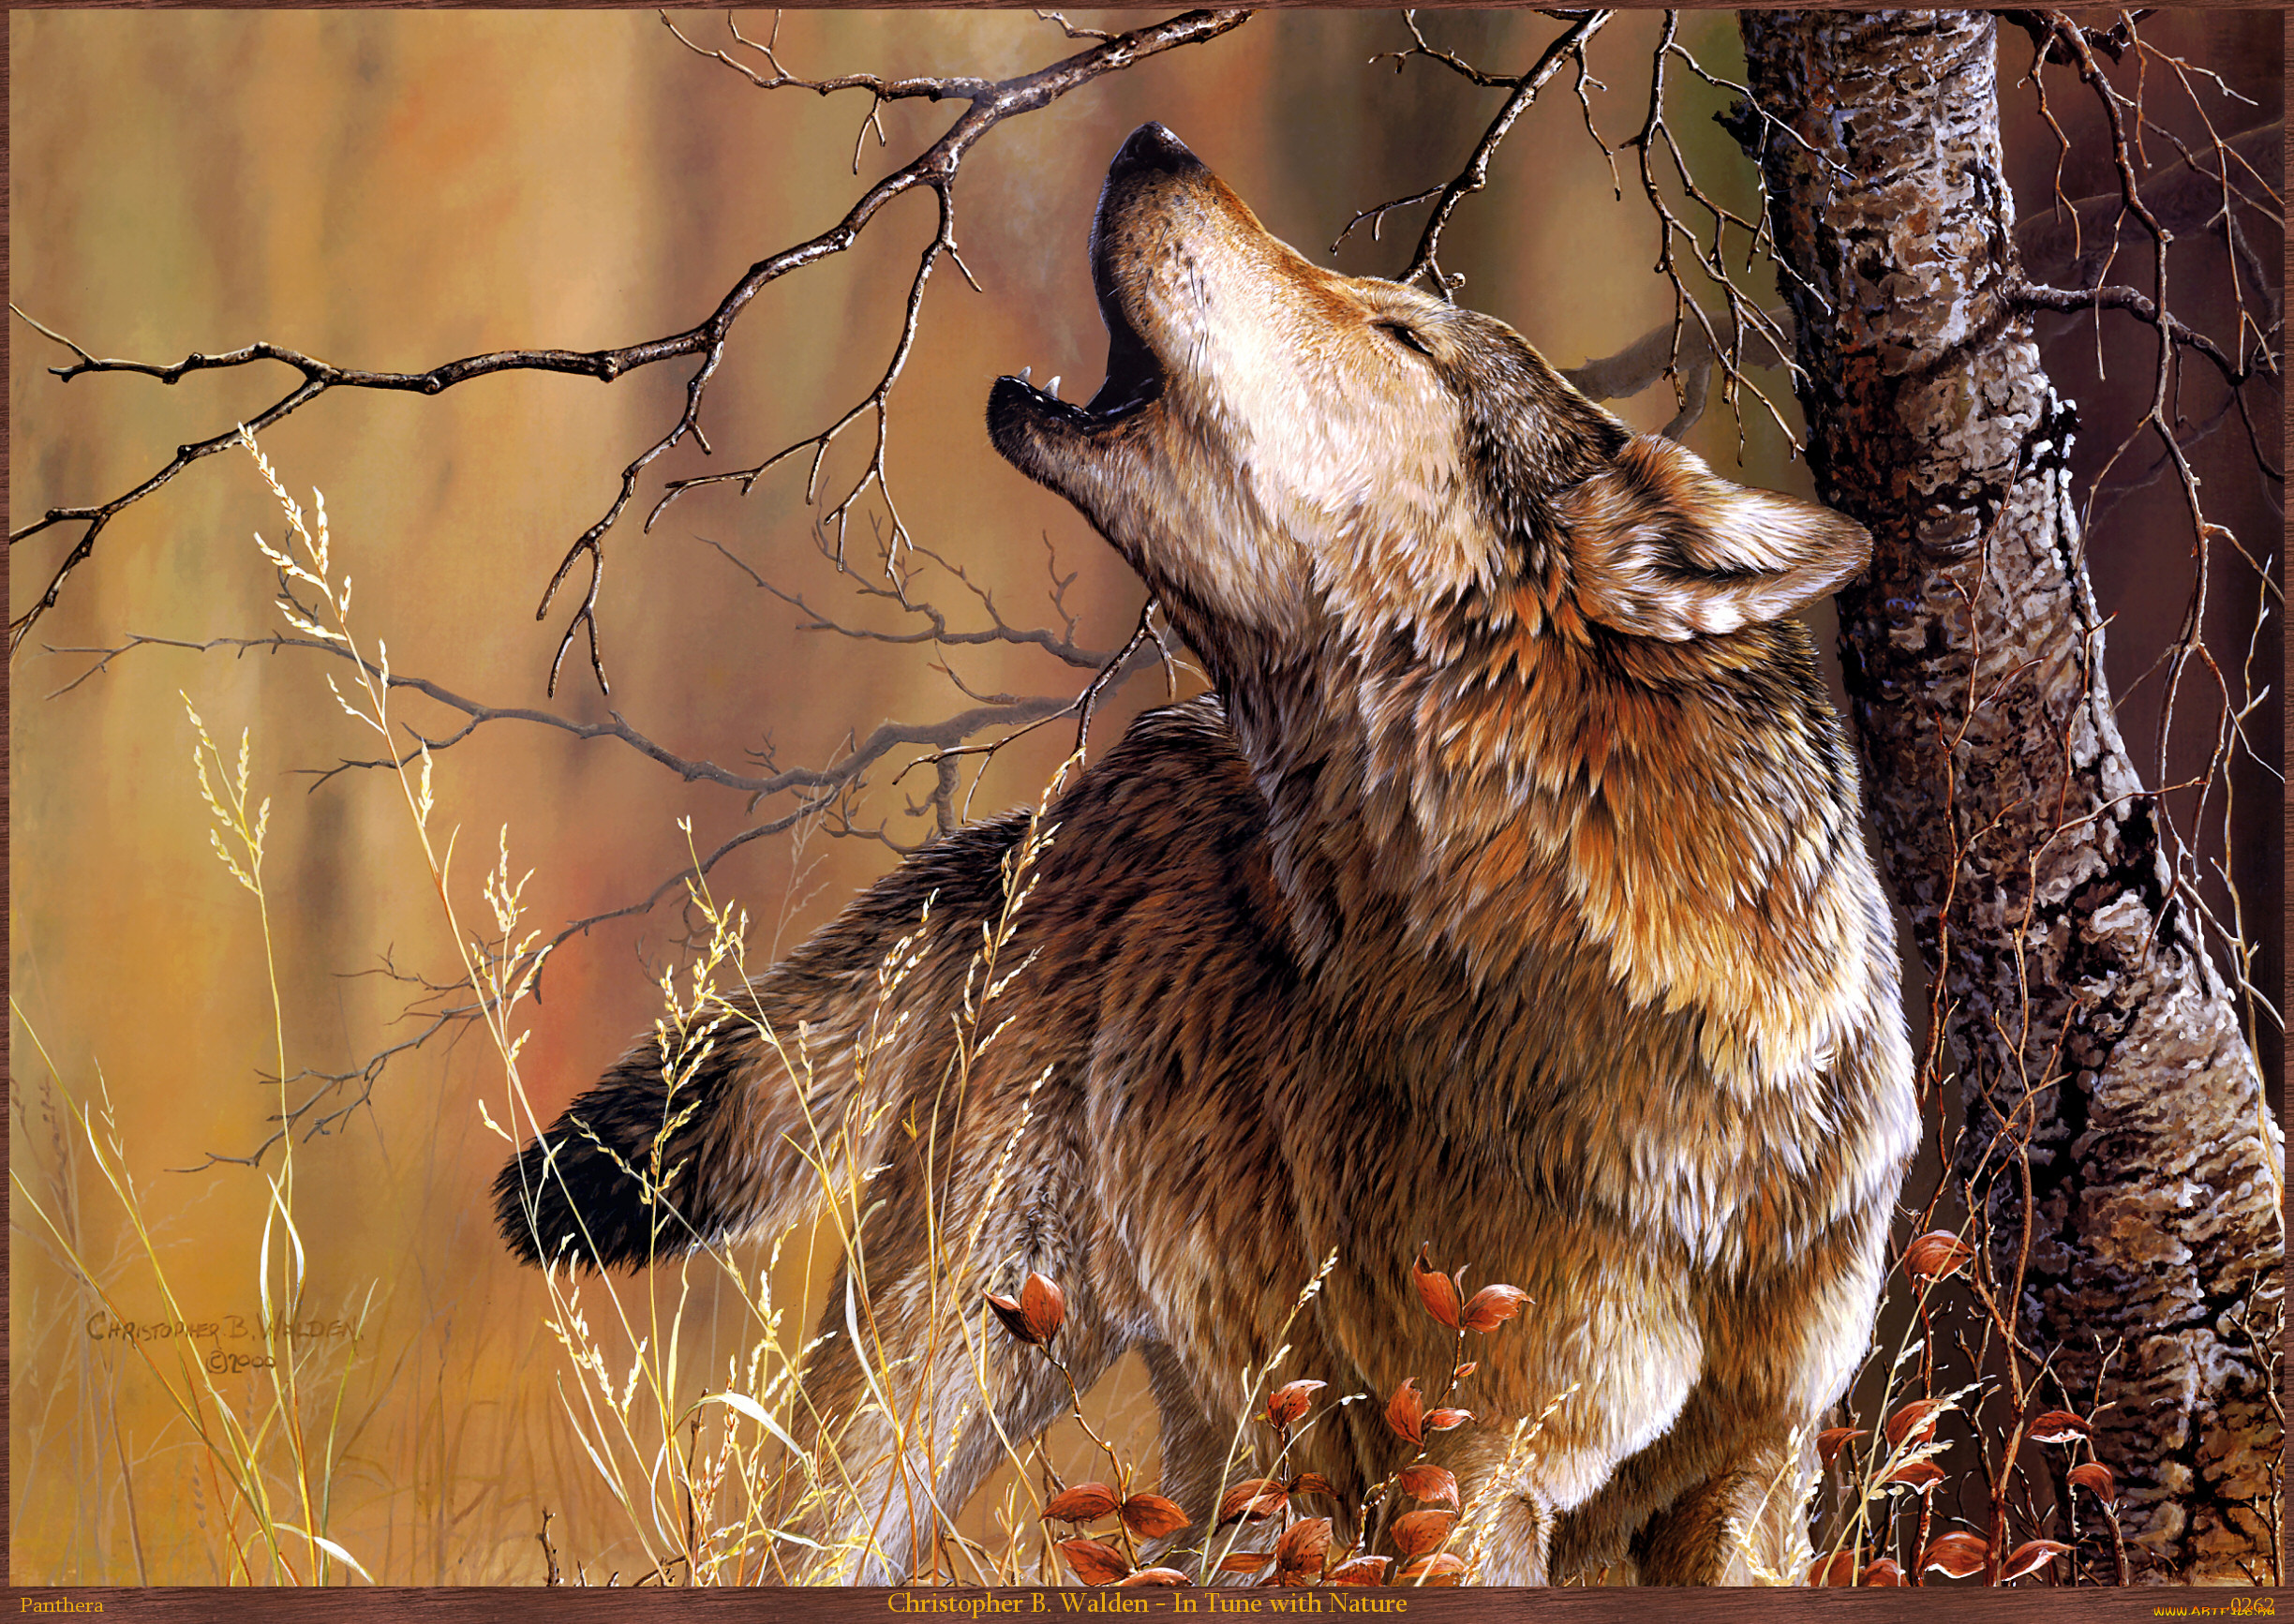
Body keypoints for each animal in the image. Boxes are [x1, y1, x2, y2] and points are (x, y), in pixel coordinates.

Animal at [497, 123, 1917, 1586]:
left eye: (1402, 335)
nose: (1153, 140)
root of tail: (1078, 793)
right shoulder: (1467, 1473)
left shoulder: (1757, 1473)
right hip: (942, 1384)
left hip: (1242, 1451)